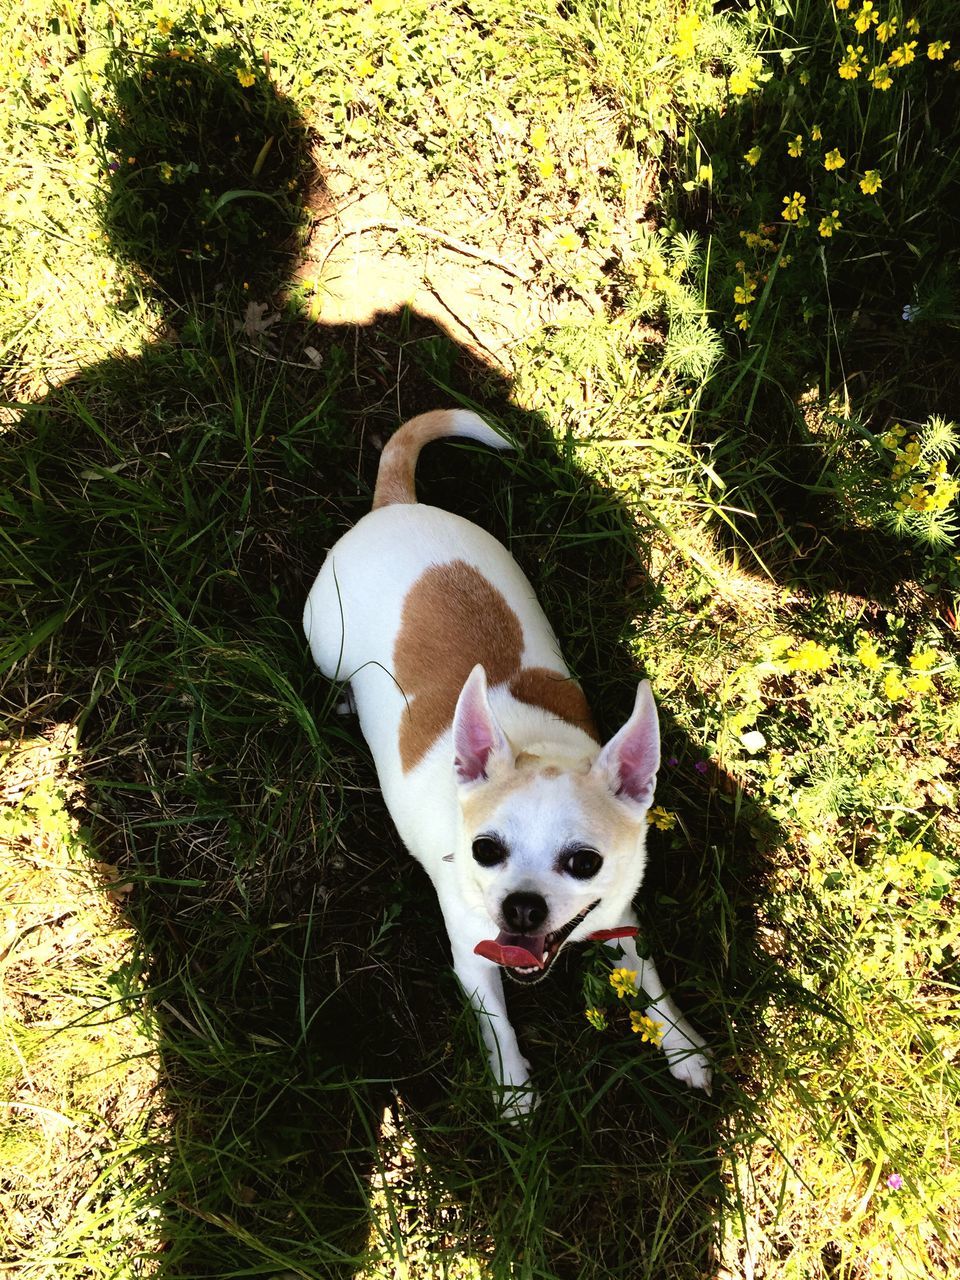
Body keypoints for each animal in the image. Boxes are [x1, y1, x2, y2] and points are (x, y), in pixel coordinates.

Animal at [302, 409, 716, 1111]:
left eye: (584, 863)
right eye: (484, 851)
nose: (521, 906)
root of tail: (395, 504)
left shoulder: (617, 919)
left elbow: (652, 980)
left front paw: (681, 1044)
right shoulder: (476, 956)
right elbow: (494, 1021)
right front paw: (513, 1090)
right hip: (326, 641)